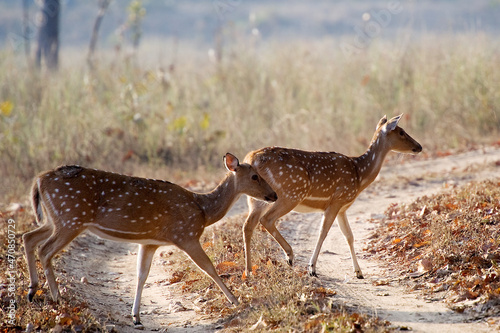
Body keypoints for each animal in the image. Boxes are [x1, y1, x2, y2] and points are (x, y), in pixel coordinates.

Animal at [23, 152, 278, 326]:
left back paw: (32, 290)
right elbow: (209, 267)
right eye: (255, 176)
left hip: (55, 220)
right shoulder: (186, 235)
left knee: (28, 237)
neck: (203, 211)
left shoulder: (150, 242)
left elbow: (141, 275)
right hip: (71, 218)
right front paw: (235, 300)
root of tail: (38, 180)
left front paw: (136, 316)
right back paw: (56, 298)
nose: (273, 195)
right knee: (45, 250)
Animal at [242, 114, 422, 278]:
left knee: (248, 225)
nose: (419, 146)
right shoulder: (336, 200)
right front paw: (312, 268)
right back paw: (289, 256)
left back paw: (249, 271)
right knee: (267, 219)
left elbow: (349, 236)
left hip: (257, 199)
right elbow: (323, 232)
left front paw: (359, 272)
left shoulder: (342, 208)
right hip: (289, 194)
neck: (359, 174)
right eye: (401, 132)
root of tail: (252, 159)